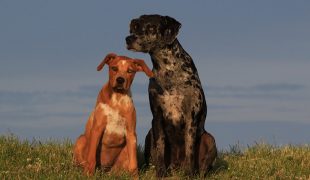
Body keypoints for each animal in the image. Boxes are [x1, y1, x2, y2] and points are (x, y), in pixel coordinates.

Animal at [126, 14, 218, 176]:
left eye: (151, 28)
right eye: (136, 26)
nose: (128, 39)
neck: (168, 70)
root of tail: (176, 166)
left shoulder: (191, 117)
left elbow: (189, 149)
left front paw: (189, 174)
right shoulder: (157, 117)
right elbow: (160, 148)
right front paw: (160, 174)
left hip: (209, 139)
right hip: (149, 134)